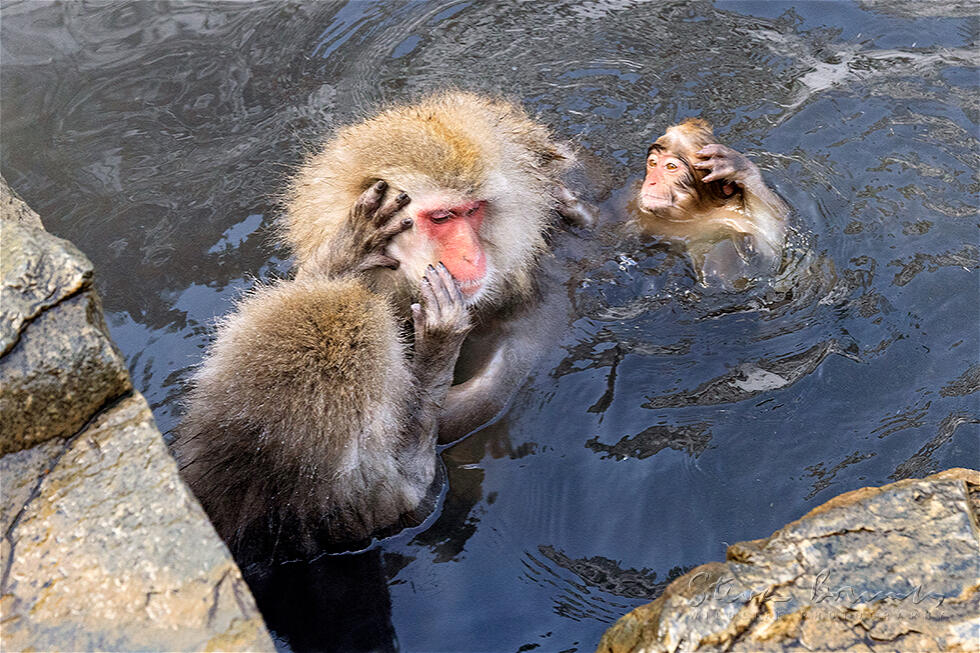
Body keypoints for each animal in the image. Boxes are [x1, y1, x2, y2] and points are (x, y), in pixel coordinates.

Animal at [635, 118, 788, 289]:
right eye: (653, 163)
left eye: (671, 166)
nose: (651, 181)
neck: (697, 214)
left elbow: (768, 255)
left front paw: (738, 167)